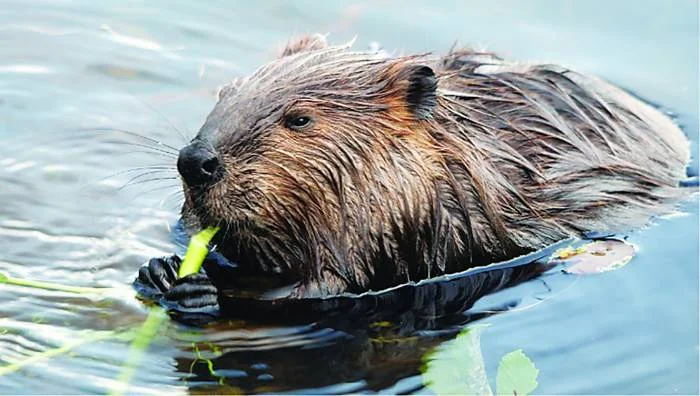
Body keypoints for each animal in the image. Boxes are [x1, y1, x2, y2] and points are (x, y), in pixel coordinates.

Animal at [134, 34, 692, 318]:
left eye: (300, 119)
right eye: (224, 93)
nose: (195, 161)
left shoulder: (418, 223)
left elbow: (328, 289)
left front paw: (201, 289)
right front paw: (161, 268)